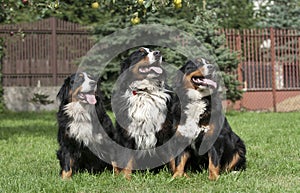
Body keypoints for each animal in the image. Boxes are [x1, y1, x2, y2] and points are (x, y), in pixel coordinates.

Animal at [111, 47, 173, 179]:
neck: (144, 92)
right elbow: (126, 159)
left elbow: (172, 158)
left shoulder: (164, 132)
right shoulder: (127, 135)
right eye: (141, 53)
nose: (158, 53)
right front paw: (125, 178)